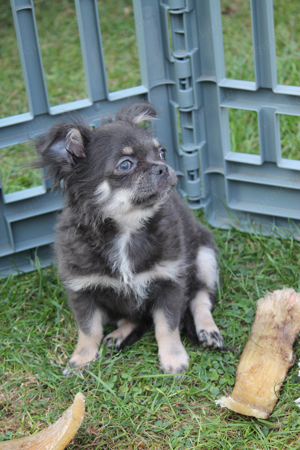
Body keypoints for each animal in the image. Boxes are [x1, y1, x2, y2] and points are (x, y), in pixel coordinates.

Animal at [34, 102, 223, 376]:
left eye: (162, 153)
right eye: (125, 165)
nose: (163, 167)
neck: (127, 229)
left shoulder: (170, 281)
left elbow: (167, 325)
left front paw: (174, 358)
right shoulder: (82, 289)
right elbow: (88, 329)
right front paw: (82, 359)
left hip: (205, 256)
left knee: (200, 297)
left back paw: (208, 331)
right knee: (135, 319)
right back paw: (118, 336)